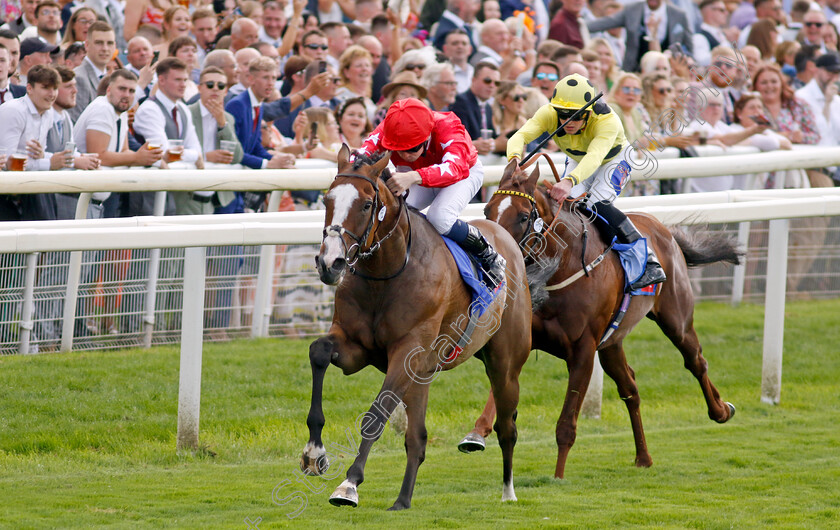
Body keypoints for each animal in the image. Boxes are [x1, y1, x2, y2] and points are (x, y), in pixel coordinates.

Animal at [302, 144, 532, 508]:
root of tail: (508, 242)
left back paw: (508, 491)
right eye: (327, 200)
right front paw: (314, 453)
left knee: (507, 428)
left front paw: (349, 485)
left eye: (365, 205)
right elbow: (319, 351)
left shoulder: (407, 350)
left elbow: (376, 415)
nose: (330, 263)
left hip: (505, 365)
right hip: (423, 373)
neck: (387, 272)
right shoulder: (356, 346)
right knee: (417, 438)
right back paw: (402, 500)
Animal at [462, 159, 740, 476]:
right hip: (612, 342)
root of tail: (663, 229)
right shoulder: (528, 339)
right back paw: (643, 457)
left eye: (522, 217)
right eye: (487, 211)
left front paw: (557, 477)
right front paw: (476, 433)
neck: (560, 267)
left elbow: (566, 425)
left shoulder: (583, 350)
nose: (498, 252)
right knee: (630, 387)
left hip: (676, 318)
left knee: (696, 361)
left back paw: (721, 410)